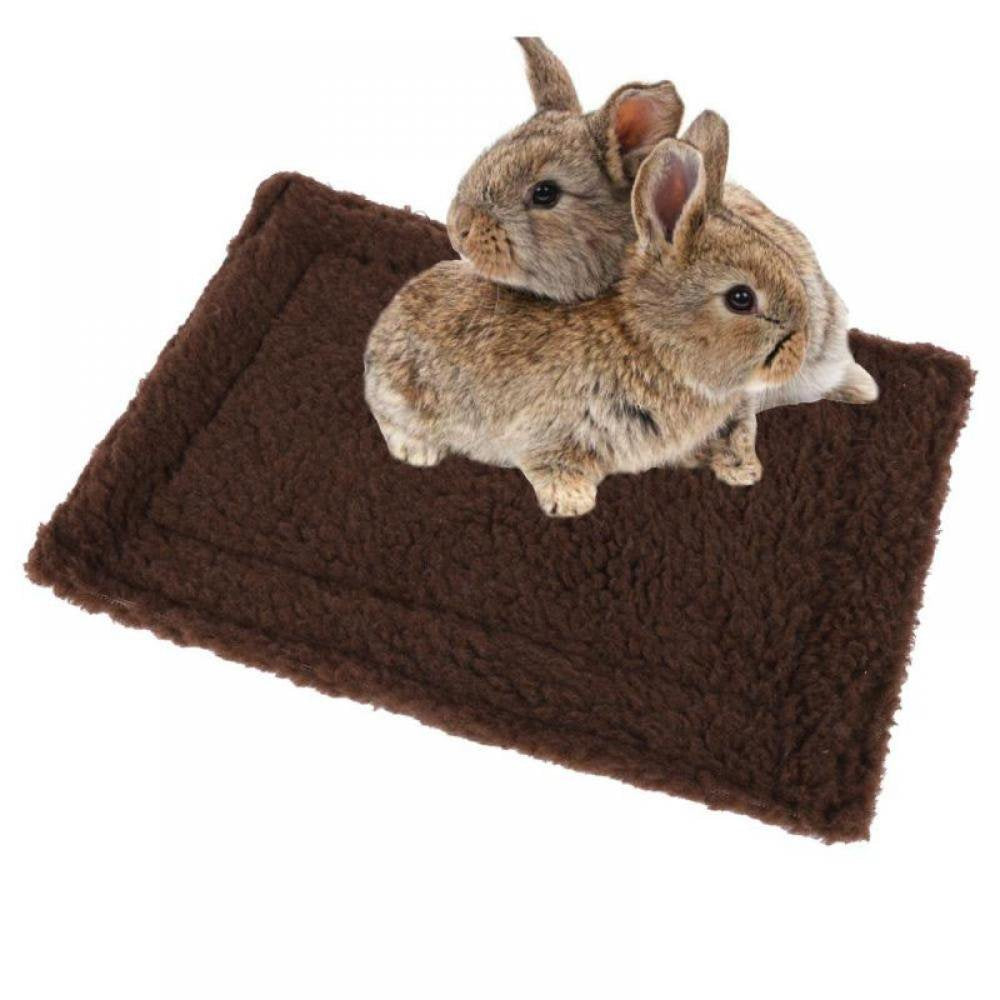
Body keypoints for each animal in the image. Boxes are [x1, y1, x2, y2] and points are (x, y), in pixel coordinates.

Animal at [365, 112, 812, 517]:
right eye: (741, 298)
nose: (800, 349)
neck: (650, 341)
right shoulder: (552, 428)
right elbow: (552, 461)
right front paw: (571, 502)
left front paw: (742, 470)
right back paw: (417, 450)